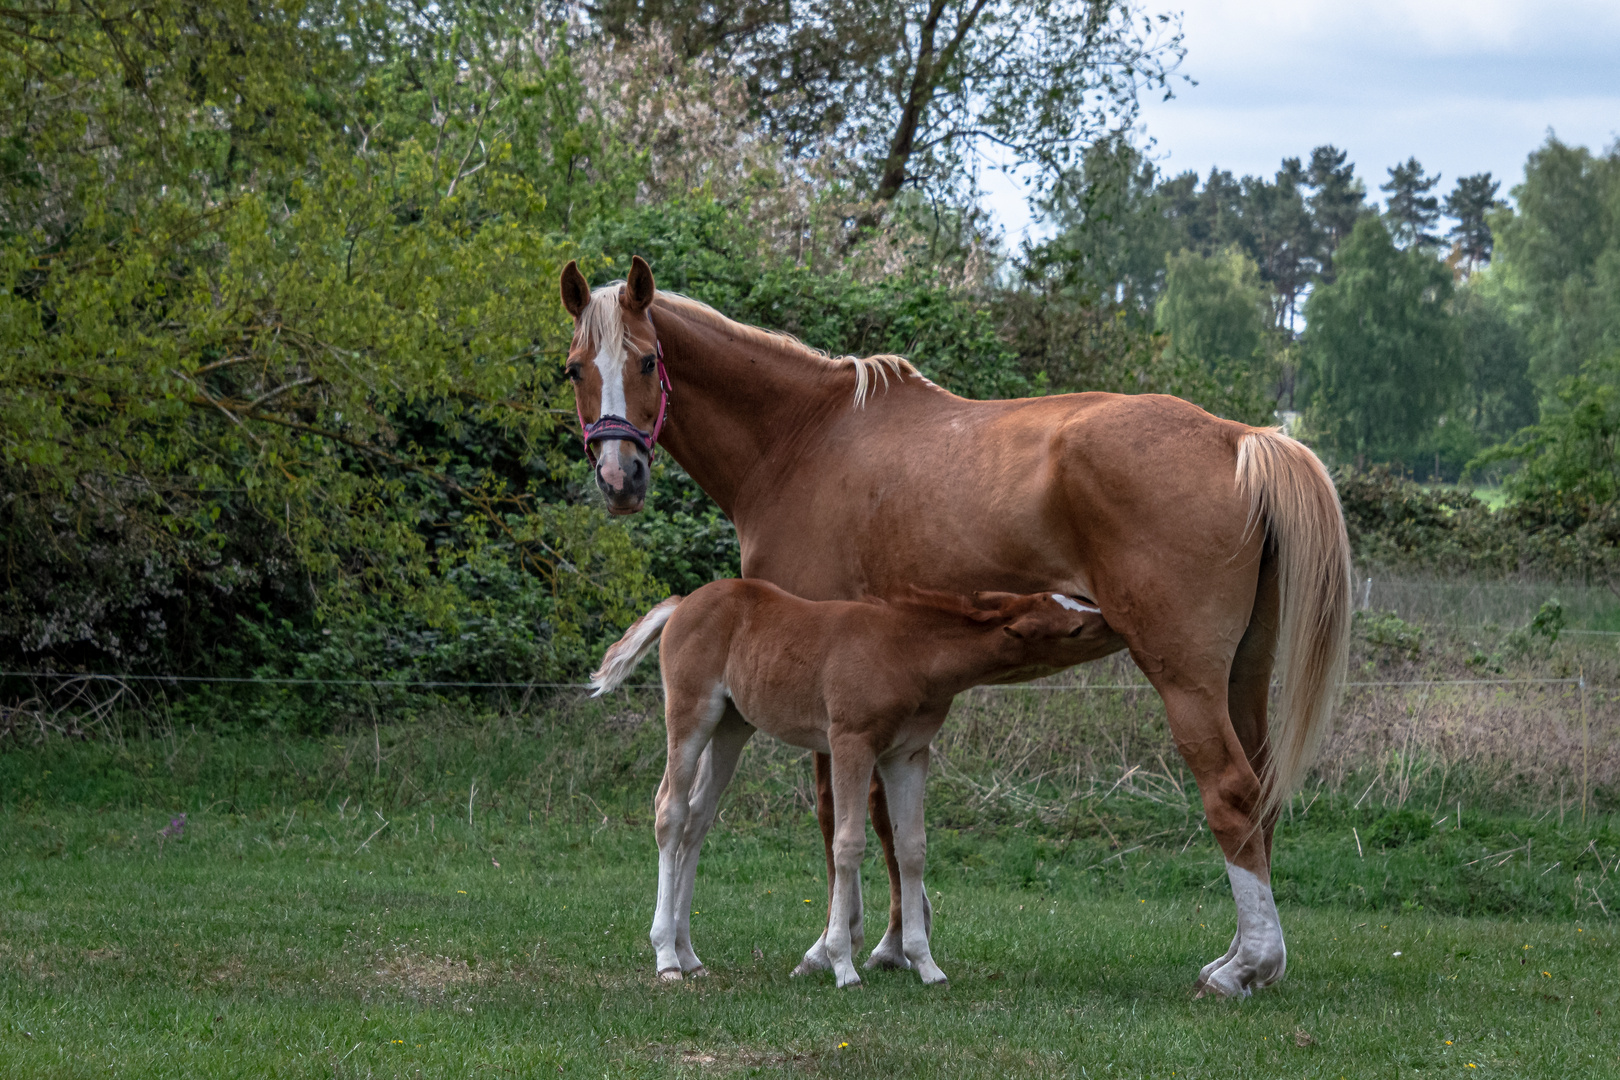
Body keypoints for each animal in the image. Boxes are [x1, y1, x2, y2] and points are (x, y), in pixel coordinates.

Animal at [589, 582, 1108, 990]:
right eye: (1074, 628)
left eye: (1079, 602)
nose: (1111, 619)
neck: (910, 652)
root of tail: (682, 603)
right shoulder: (850, 744)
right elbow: (848, 845)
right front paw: (842, 963)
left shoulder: (908, 755)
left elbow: (911, 848)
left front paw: (924, 964)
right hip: (692, 712)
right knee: (671, 813)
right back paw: (666, 957)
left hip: (733, 725)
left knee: (698, 818)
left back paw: (690, 955)